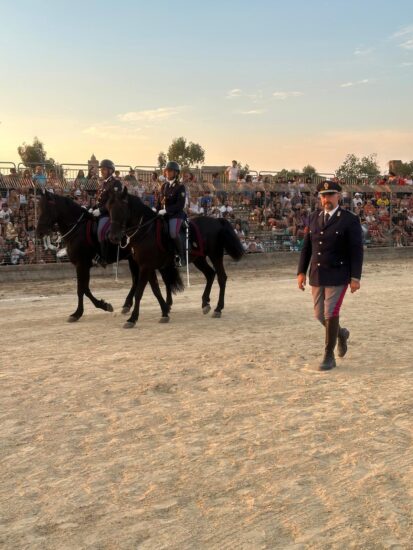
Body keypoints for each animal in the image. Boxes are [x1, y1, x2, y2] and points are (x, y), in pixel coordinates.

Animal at [36, 191, 183, 323]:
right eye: (39, 208)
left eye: (47, 209)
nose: (38, 232)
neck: (77, 229)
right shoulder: (83, 265)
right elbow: (85, 288)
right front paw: (102, 305)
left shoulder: (81, 264)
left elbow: (81, 289)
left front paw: (79, 312)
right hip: (134, 260)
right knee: (139, 281)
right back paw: (130, 305)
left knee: (162, 278)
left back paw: (165, 304)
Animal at [106, 186, 244, 328]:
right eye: (109, 208)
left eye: (122, 209)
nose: (113, 237)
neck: (145, 231)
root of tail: (217, 220)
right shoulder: (148, 267)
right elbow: (156, 290)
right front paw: (165, 312)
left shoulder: (145, 267)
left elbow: (139, 292)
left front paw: (132, 319)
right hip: (198, 259)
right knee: (210, 274)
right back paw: (205, 303)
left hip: (215, 255)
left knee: (221, 277)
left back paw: (218, 309)